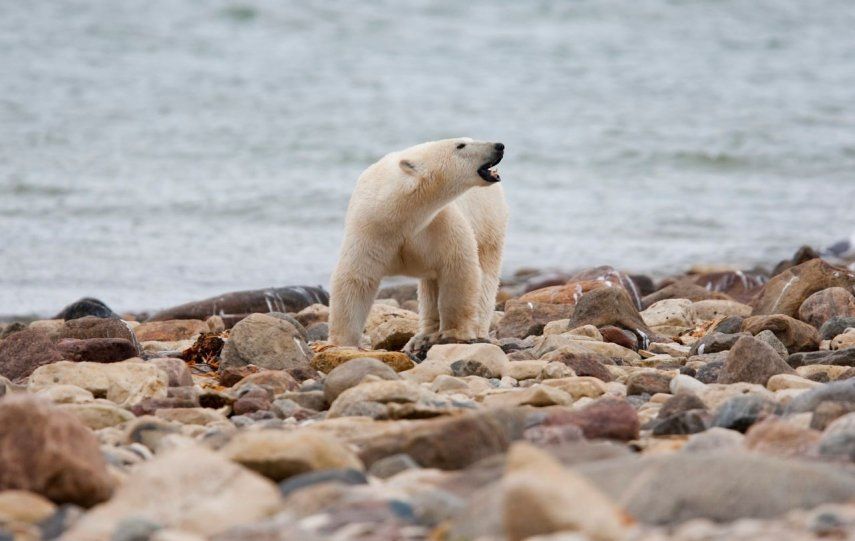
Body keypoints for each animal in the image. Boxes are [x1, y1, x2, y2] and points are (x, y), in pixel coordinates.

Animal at [328, 137, 508, 351]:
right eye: (461, 145)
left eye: (469, 140)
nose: (499, 145)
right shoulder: (370, 229)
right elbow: (357, 279)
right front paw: (343, 343)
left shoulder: (438, 224)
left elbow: (458, 269)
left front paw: (455, 332)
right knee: (430, 286)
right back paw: (424, 336)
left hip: (489, 224)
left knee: (486, 276)